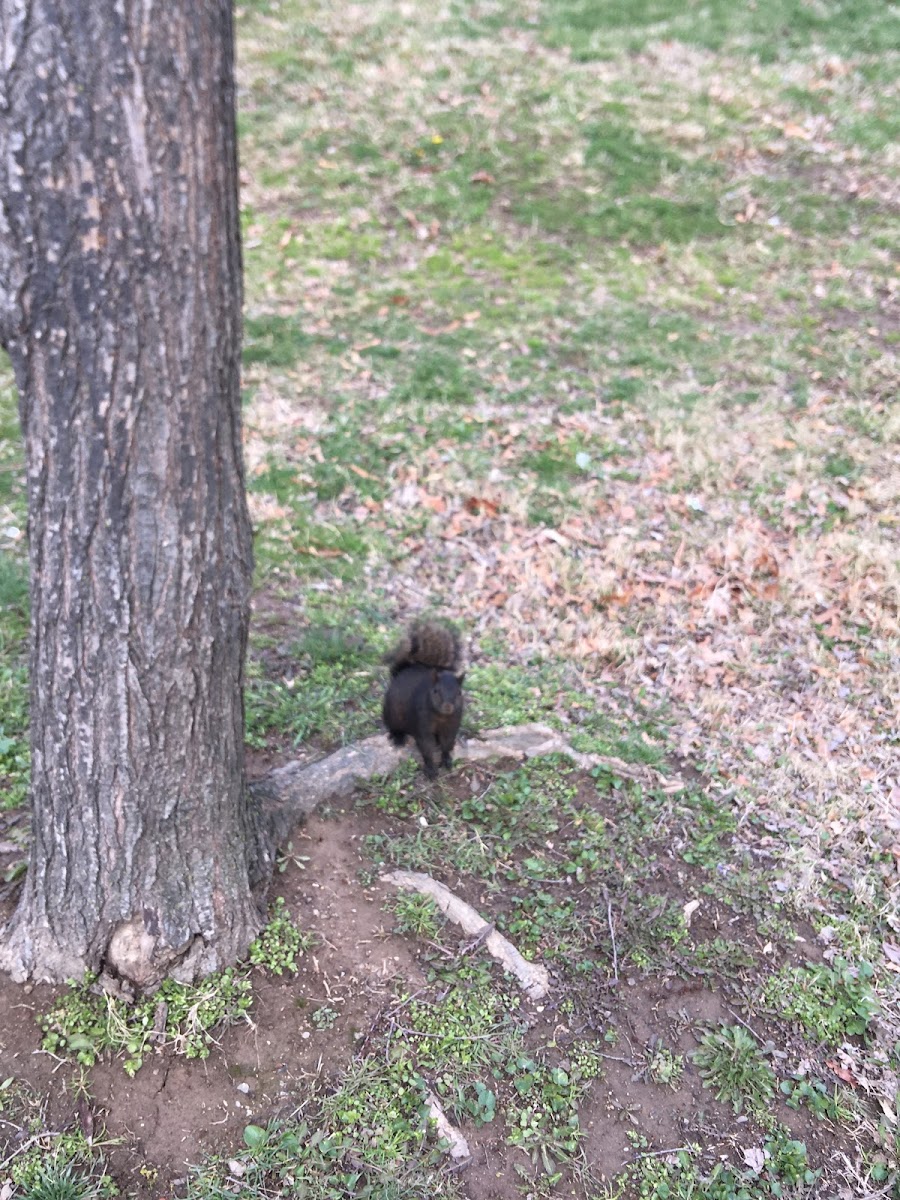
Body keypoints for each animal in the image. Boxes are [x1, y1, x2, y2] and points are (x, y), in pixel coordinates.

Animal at [381, 619, 465, 777]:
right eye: (436, 691)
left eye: (459, 692)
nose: (448, 706)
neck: (441, 717)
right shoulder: (421, 724)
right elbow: (426, 747)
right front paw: (431, 768)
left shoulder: (452, 724)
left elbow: (447, 743)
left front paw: (446, 759)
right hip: (392, 713)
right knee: (393, 726)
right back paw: (398, 737)